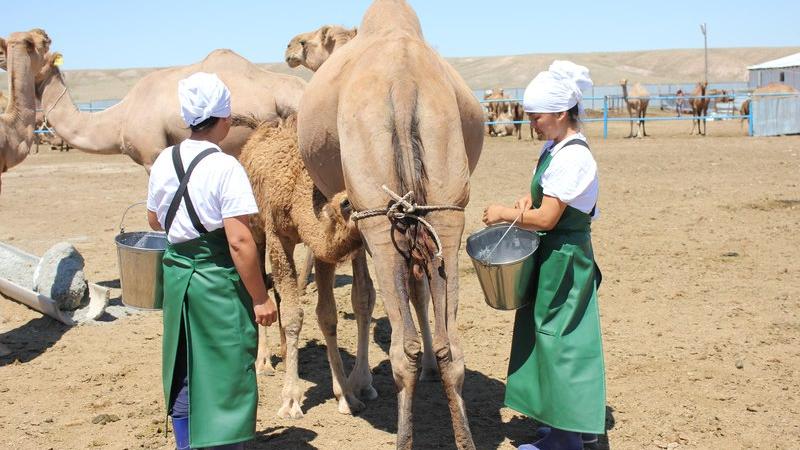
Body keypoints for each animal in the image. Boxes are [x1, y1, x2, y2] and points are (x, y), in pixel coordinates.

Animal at [238, 115, 378, 418]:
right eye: (348, 204)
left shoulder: (320, 252)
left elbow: (327, 315)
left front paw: (346, 395)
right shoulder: (278, 236)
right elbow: (294, 314)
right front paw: (290, 400)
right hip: (254, 229)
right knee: (259, 283)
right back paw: (263, 362)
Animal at [294, 1, 482, 448]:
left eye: (307, 43)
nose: (290, 50)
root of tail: (403, 81)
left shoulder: (355, 216)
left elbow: (360, 297)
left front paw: (357, 387)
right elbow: (415, 293)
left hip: (379, 217)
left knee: (402, 348)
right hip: (445, 210)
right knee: (452, 347)